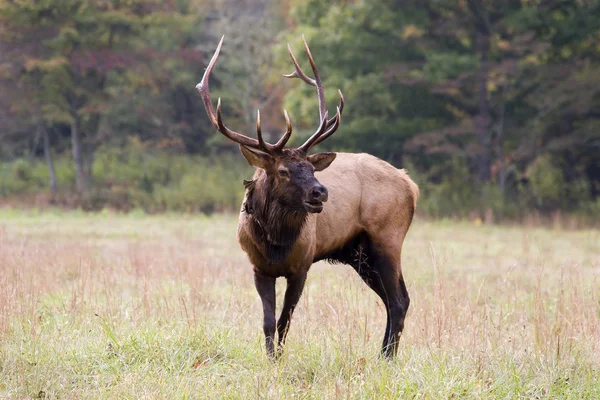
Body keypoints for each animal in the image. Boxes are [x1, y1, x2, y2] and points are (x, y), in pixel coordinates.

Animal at [195, 35, 420, 360]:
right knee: (393, 300)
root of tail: (411, 185)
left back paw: (386, 358)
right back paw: (383, 354)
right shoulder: (258, 267)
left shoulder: (301, 265)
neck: (275, 244)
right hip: (359, 254)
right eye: (284, 170)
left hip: (387, 238)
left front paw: (279, 358)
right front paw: (270, 359)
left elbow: (284, 320)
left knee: (399, 299)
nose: (320, 191)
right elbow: (267, 321)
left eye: (311, 168)